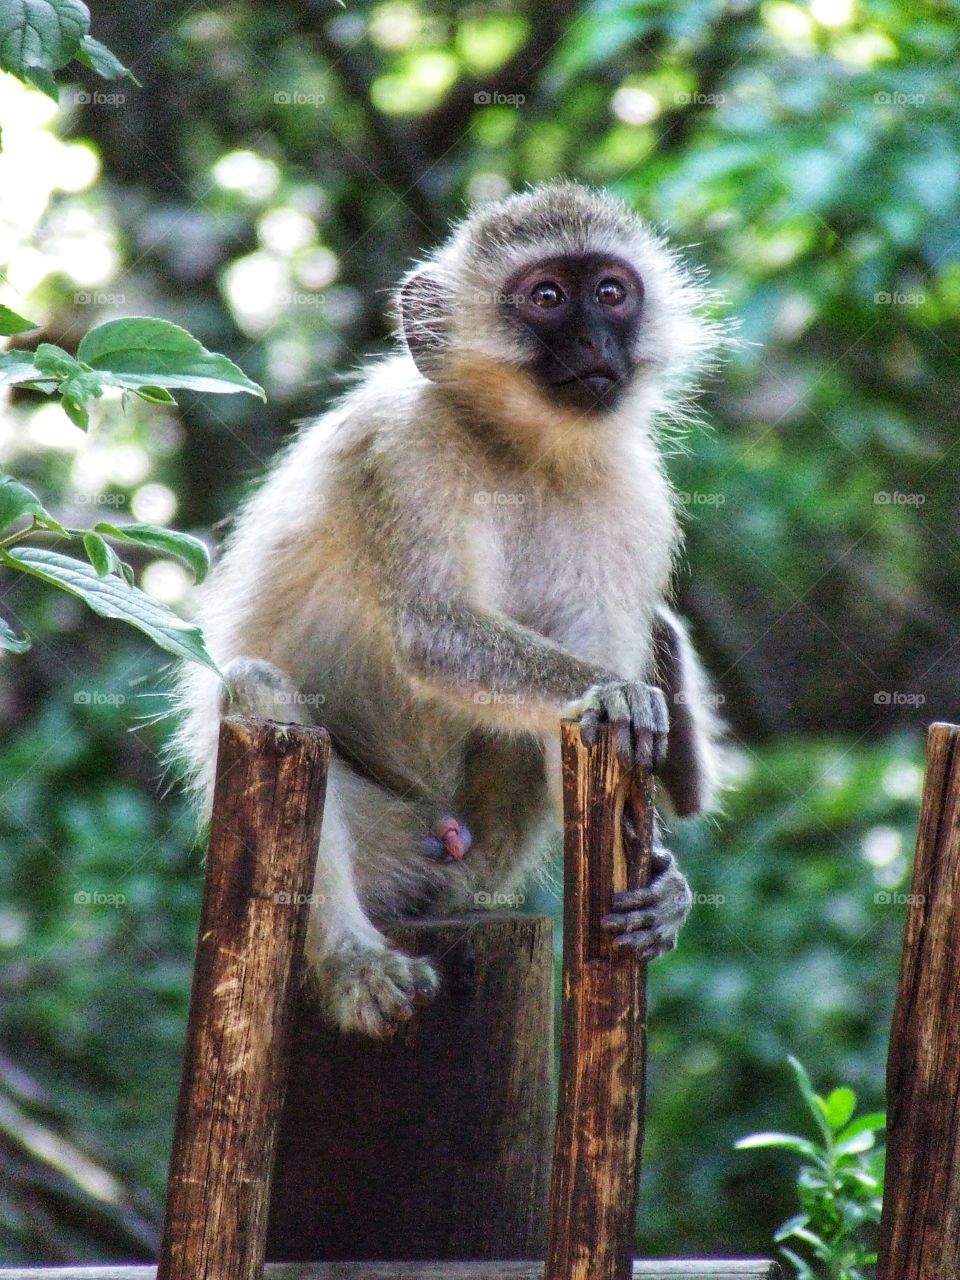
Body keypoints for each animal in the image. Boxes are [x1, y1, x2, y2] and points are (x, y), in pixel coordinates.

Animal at [173, 181, 724, 1039]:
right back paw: (352, 962)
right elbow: (431, 634)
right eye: (545, 297)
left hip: (484, 851)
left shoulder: (631, 494)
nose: (595, 340)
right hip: (388, 840)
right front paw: (616, 694)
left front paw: (659, 874)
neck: (518, 448)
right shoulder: (406, 445)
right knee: (261, 690)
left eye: (610, 292)